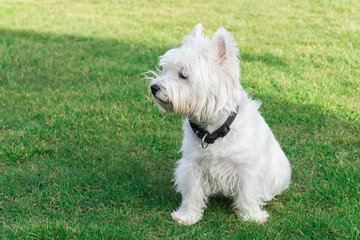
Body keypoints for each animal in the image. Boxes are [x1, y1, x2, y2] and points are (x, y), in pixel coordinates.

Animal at [148, 24, 292, 225]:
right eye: (165, 69)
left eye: (183, 75)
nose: (154, 87)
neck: (213, 130)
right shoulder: (193, 164)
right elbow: (193, 193)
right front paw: (187, 216)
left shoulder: (246, 168)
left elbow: (248, 193)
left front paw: (251, 216)